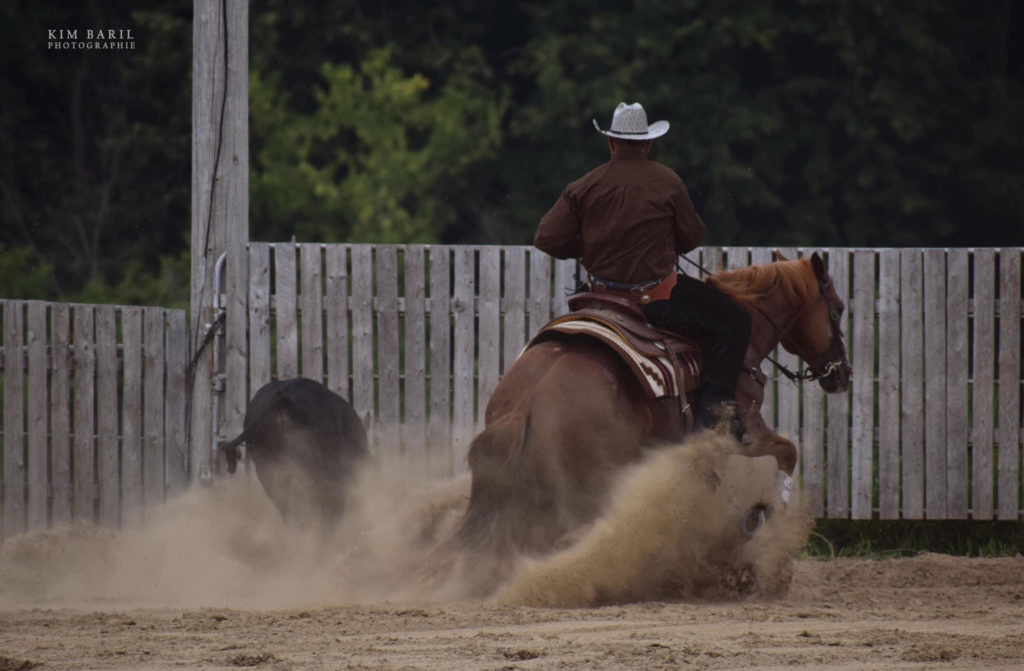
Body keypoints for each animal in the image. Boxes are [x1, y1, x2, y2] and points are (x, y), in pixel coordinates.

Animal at [460, 248, 851, 557]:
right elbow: (787, 451)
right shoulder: (744, 428)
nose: (842, 373)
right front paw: (765, 513)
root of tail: (527, 400)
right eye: (837, 309)